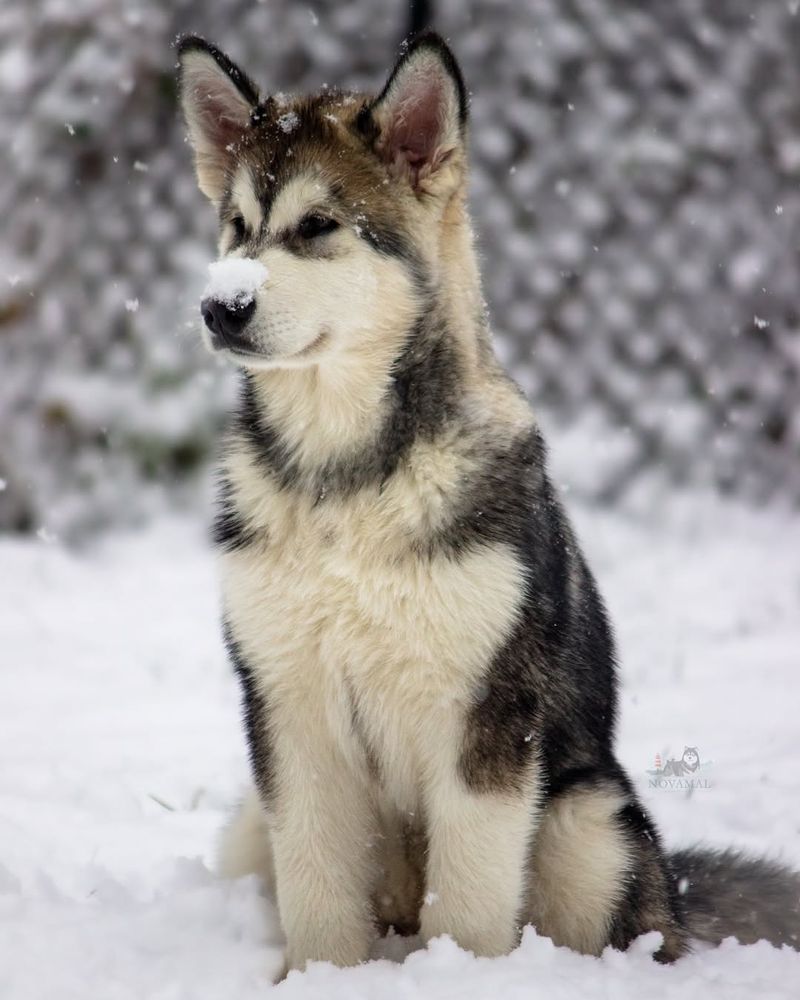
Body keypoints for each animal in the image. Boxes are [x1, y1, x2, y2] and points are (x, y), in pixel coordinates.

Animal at [177, 33, 800, 976]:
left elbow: (471, 898)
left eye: (317, 227)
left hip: (588, 823)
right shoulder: (289, 709)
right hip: (250, 821)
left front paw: (461, 974)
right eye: (239, 227)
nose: (222, 306)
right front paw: (318, 978)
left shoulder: (487, 719)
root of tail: (680, 897)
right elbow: (317, 891)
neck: (347, 471)